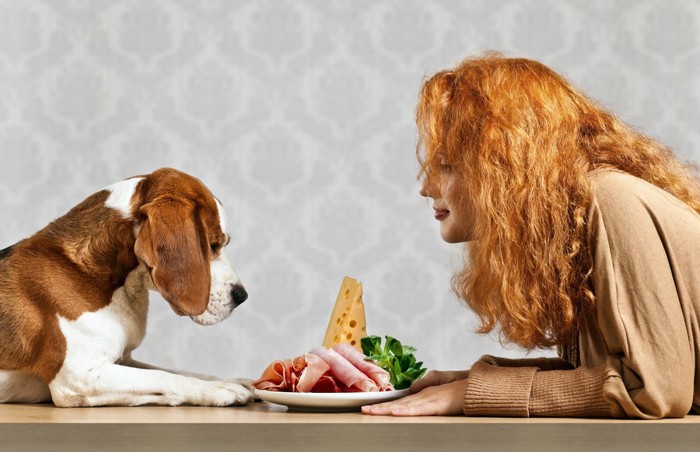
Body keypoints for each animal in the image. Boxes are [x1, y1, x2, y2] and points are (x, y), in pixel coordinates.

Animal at [0, 168, 254, 408]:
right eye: (213, 245)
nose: (242, 296)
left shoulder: (125, 360)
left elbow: (175, 370)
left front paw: (233, 380)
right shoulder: (79, 377)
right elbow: (164, 376)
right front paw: (218, 389)